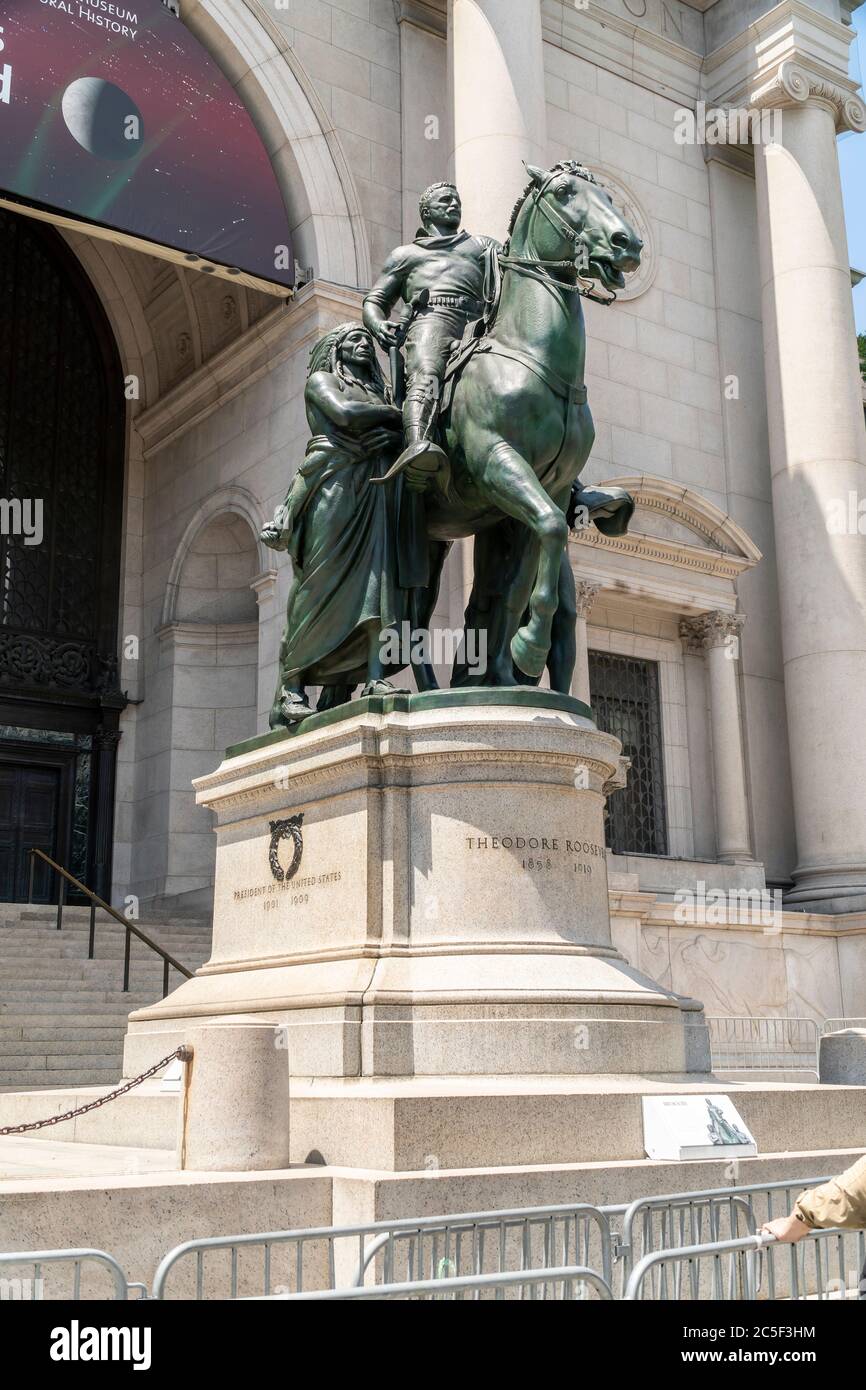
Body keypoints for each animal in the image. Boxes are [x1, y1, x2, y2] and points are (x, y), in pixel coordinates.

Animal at [414, 161, 644, 689]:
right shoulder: (497, 461)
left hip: (435, 539)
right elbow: (553, 530)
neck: (531, 354)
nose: (627, 243)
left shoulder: (547, 488)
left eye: (608, 195)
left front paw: (507, 667)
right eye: (563, 192)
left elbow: (521, 578)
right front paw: (529, 648)